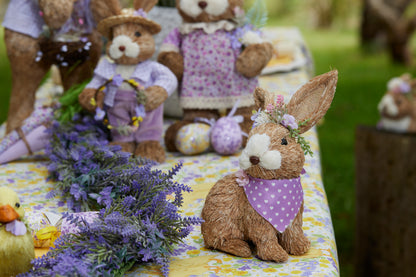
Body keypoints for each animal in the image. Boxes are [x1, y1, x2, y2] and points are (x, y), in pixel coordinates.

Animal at [78, 0, 177, 162]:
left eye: (138, 33)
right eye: (113, 36)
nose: (121, 46)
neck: (127, 67)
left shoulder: (156, 69)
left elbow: (168, 77)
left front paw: (149, 96)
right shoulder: (103, 75)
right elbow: (94, 83)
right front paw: (90, 99)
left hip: (149, 117)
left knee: (148, 132)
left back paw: (149, 151)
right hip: (117, 114)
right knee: (122, 131)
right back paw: (120, 149)